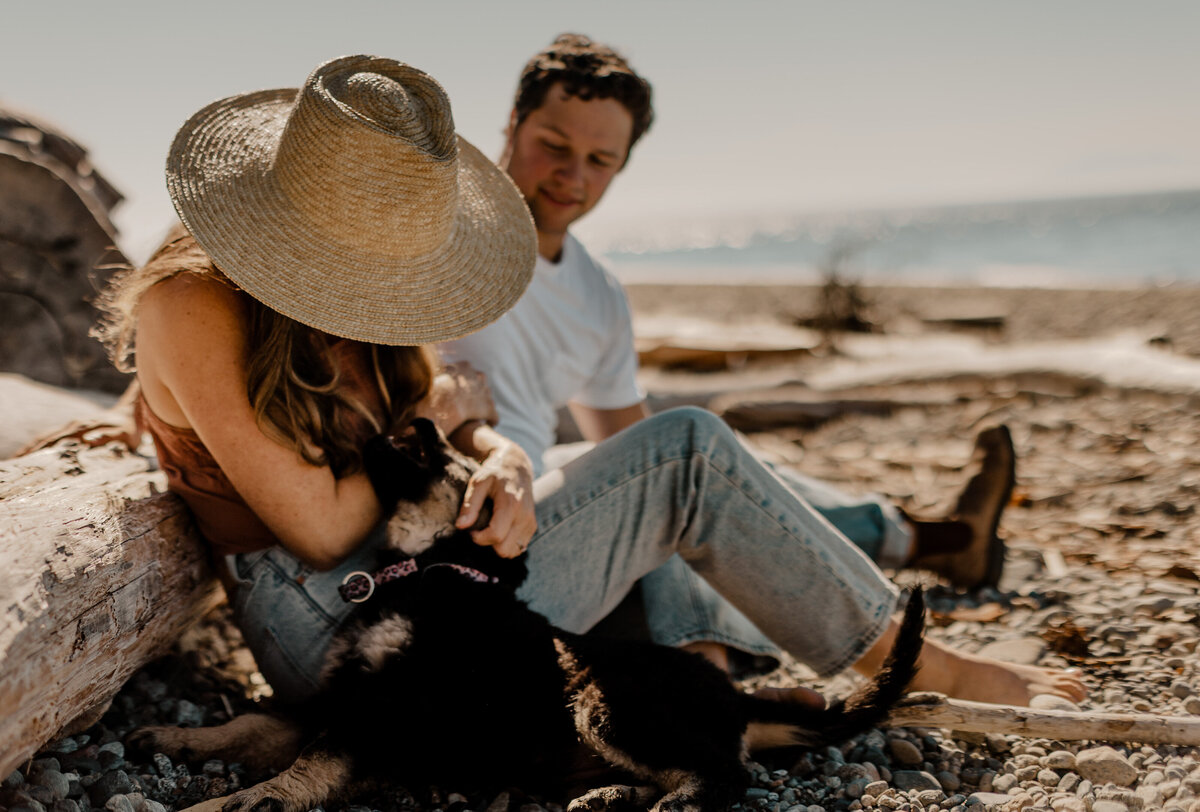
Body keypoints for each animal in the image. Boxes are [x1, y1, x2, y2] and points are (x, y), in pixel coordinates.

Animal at [131, 417, 921, 810]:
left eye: (451, 456)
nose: (421, 416)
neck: (432, 573)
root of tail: (735, 697)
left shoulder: (387, 703)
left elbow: (313, 756)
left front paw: (251, 799)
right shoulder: (341, 688)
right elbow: (258, 722)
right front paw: (181, 739)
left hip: (605, 700)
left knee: (725, 777)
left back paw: (665, 806)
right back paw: (607, 795)